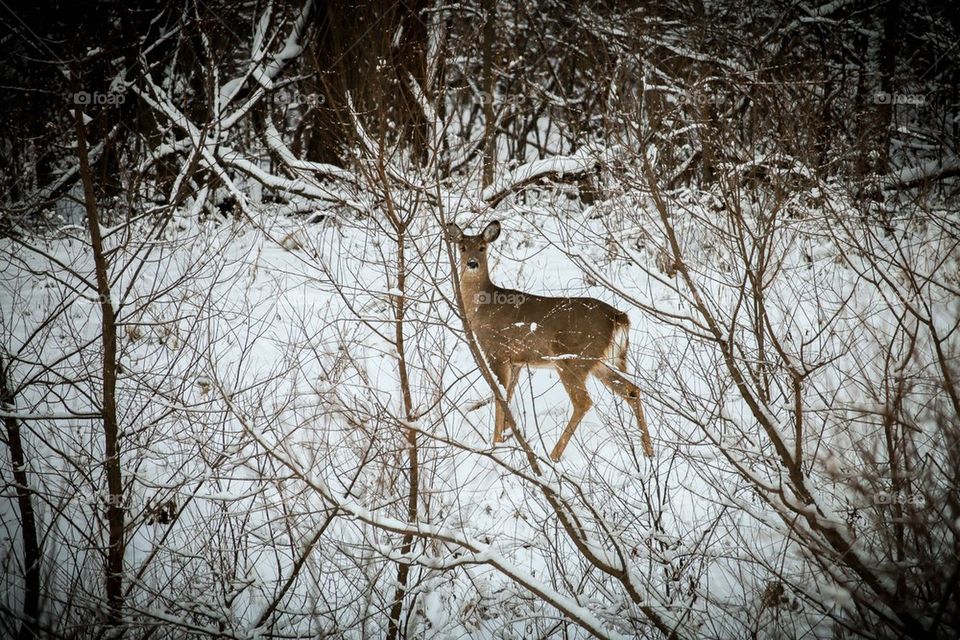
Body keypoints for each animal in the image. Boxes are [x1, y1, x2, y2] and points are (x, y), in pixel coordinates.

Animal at [446, 220, 653, 461]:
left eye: (482, 247)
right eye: (462, 248)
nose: (472, 263)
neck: (482, 308)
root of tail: (618, 317)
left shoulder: (497, 351)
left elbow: (500, 397)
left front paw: (496, 445)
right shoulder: (517, 361)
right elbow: (509, 397)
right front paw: (505, 440)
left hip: (572, 358)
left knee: (583, 402)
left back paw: (553, 455)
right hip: (602, 361)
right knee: (632, 390)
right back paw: (648, 451)